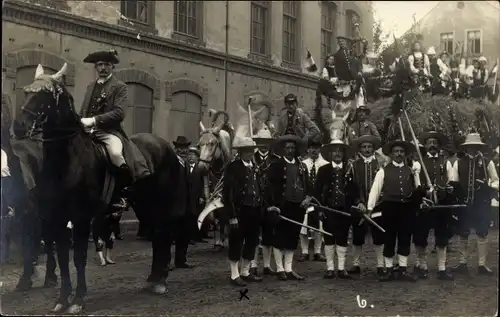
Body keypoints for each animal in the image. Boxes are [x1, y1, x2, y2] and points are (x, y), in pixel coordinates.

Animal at [12, 63, 182, 312]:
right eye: (26, 91)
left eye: (44, 95)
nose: (18, 127)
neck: (67, 161)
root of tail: (165, 146)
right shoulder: (57, 218)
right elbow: (63, 257)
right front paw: (62, 299)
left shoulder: (81, 218)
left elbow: (79, 258)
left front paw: (78, 300)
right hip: (143, 205)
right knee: (157, 236)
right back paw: (153, 279)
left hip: (161, 203)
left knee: (163, 234)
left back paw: (160, 282)